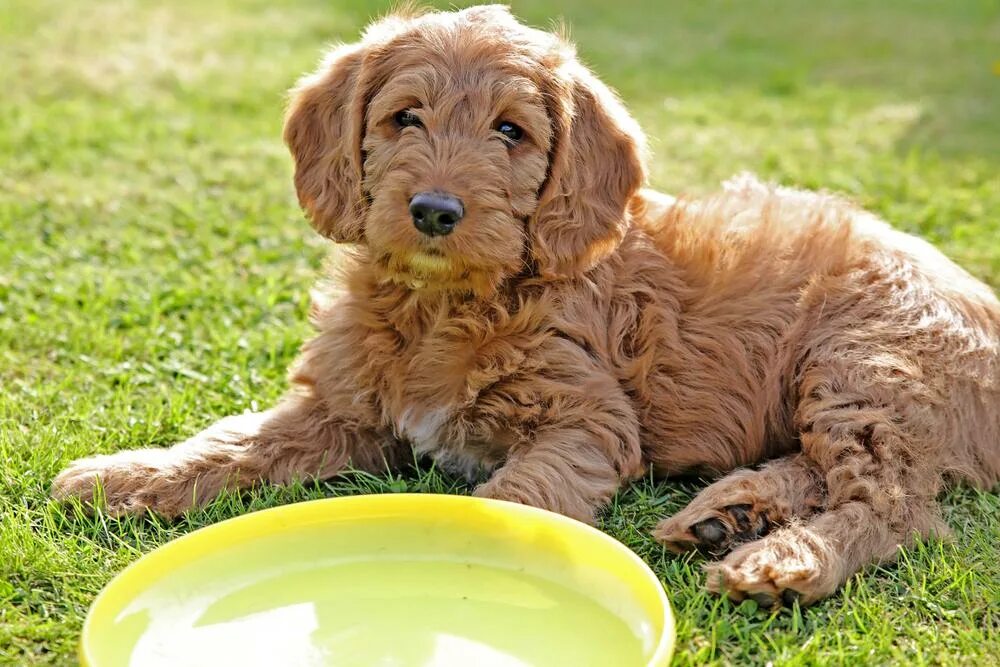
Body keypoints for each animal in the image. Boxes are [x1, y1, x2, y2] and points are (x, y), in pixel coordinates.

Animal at [52, 5, 1000, 608]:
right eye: (405, 118)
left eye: (510, 131)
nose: (436, 210)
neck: (445, 303)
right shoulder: (343, 409)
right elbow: (238, 440)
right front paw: (127, 473)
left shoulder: (586, 420)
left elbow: (512, 496)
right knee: (830, 472)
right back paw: (728, 512)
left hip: (863, 364)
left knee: (898, 505)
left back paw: (782, 557)